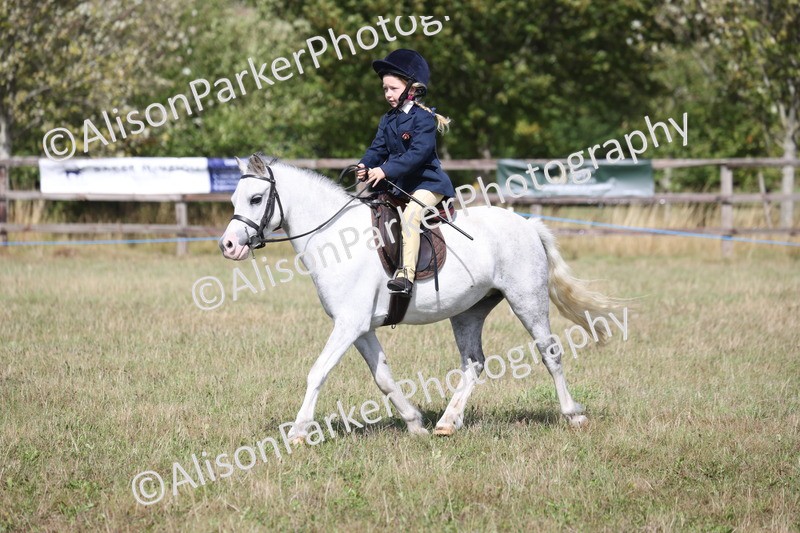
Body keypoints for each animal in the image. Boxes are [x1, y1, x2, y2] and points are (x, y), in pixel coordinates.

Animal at [219, 153, 620, 443]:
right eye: (235, 198)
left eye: (256, 198)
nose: (229, 246)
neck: (332, 237)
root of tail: (527, 224)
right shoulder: (361, 328)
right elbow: (383, 378)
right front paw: (415, 424)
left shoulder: (349, 325)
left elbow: (317, 371)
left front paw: (299, 433)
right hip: (469, 311)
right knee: (474, 363)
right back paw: (447, 422)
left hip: (527, 300)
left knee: (549, 352)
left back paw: (573, 415)